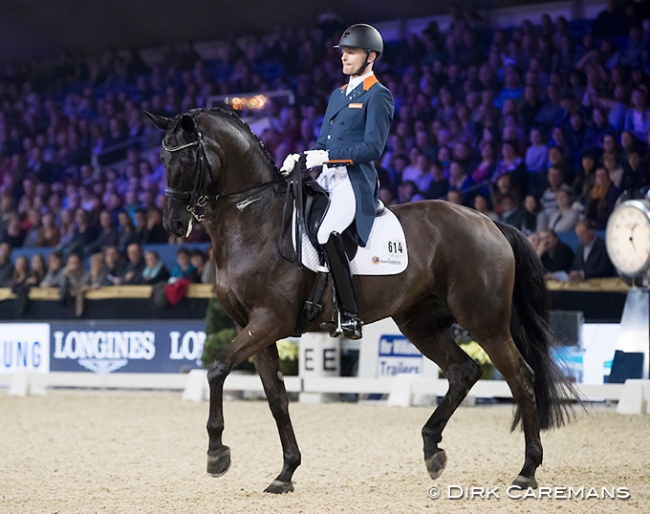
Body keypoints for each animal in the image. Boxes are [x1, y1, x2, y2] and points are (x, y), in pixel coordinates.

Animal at [147, 107, 572, 492]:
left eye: (186, 159)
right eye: (163, 160)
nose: (173, 224)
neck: (255, 220)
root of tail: (489, 222)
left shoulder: (269, 321)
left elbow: (217, 368)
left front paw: (216, 453)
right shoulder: (250, 326)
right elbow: (276, 398)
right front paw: (286, 472)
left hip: (484, 320)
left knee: (521, 378)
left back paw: (526, 471)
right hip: (420, 322)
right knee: (463, 371)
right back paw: (432, 450)